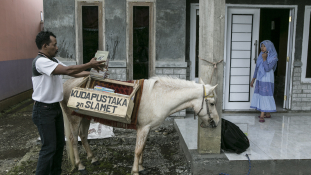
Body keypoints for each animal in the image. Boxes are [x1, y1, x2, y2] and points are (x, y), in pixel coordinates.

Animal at [60, 77, 219, 175]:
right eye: (212, 103)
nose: (216, 122)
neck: (159, 97)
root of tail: (67, 84)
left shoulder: (146, 128)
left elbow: (142, 148)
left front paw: (141, 168)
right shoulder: (142, 129)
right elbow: (137, 150)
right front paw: (135, 171)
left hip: (85, 118)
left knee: (83, 136)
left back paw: (93, 159)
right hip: (74, 118)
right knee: (73, 140)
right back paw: (80, 166)